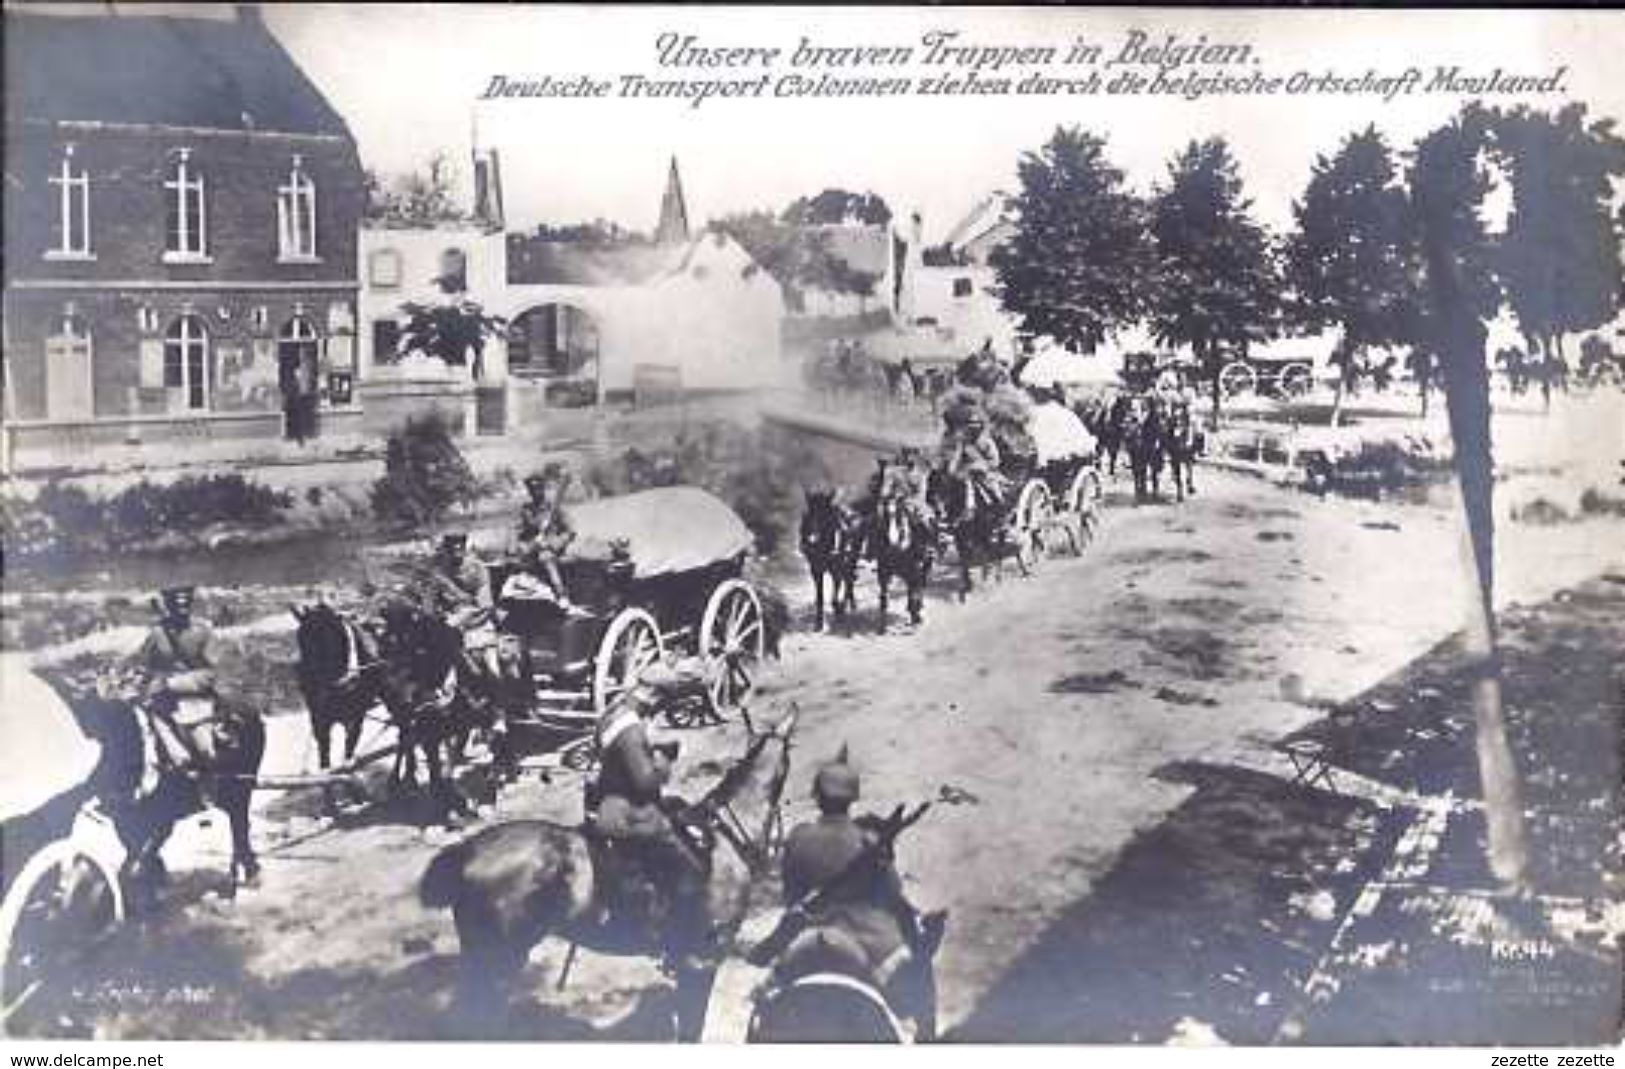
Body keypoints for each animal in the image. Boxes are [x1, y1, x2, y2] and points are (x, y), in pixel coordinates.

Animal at [799, 487, 864, 627]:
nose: (812, 540)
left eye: (825, 516)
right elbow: (820, 597)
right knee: (848, 579)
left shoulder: (837, 567)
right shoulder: (816, 570)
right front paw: (818, 622)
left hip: (852, 558)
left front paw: (839, 609)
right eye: (809, 515)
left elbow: (835, 596)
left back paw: (848, 605)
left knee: (848, 581)